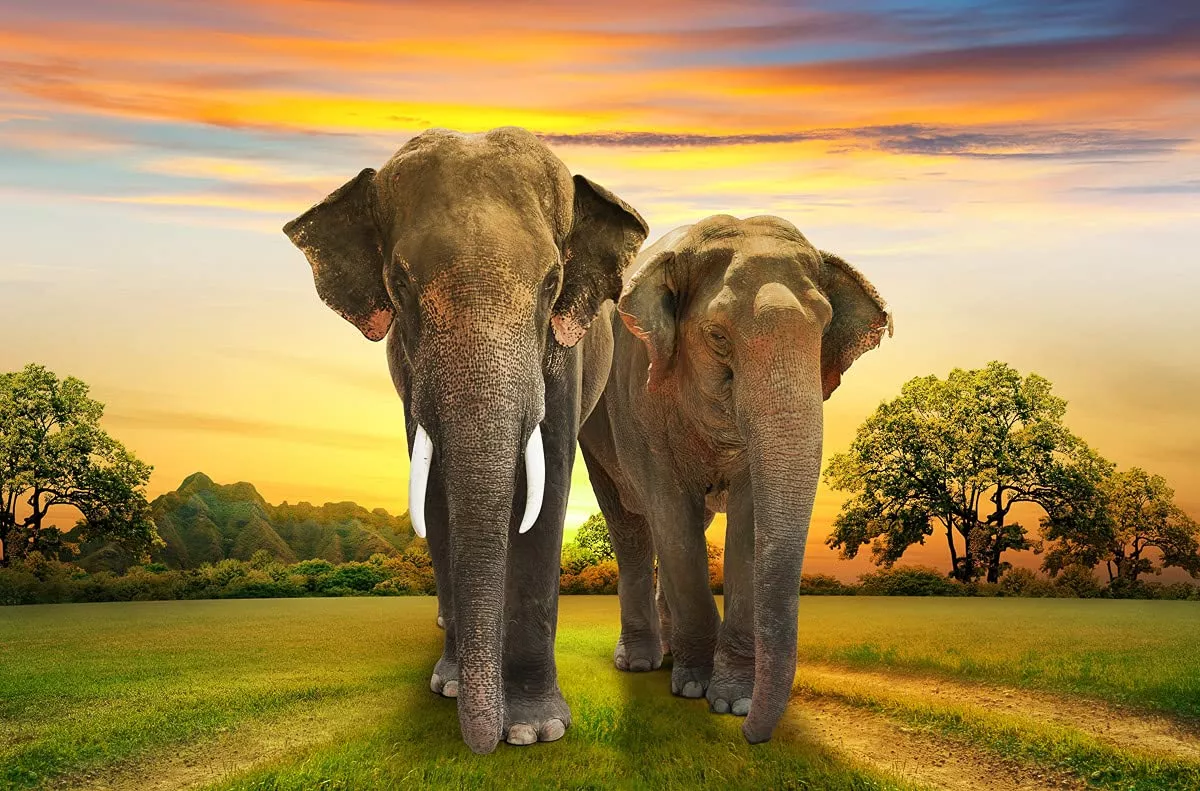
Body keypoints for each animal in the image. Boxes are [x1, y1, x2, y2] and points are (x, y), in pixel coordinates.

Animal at [282, 127, 648, 754]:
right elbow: (434, 497)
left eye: (552, 283)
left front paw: (532, 730)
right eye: (399, 285)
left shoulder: (563, 356)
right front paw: (452, 688)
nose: (483, 745)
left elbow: (548, 492)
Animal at [578, 215, 891, 743]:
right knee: (633, 528)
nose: (750, 736)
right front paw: (694, 689)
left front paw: (732, 700)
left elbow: (747, 523)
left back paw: (669, 655)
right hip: (597, 433)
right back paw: (642, 662)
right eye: (718, 336)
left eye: (824, 329)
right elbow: (671, 516)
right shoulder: (638, 399)